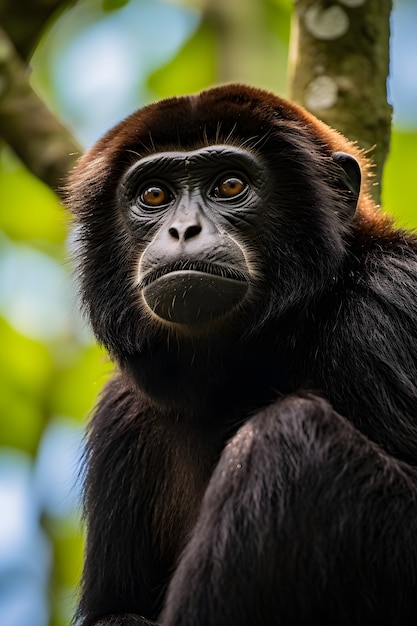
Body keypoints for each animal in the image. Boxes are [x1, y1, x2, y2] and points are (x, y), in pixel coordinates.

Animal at [66, 84, 416, 624]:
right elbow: (116, 612)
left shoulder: (386, 305)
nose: (183, 230)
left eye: (229, 186)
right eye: (154, 195)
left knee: (285, 436)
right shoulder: (121, 415)